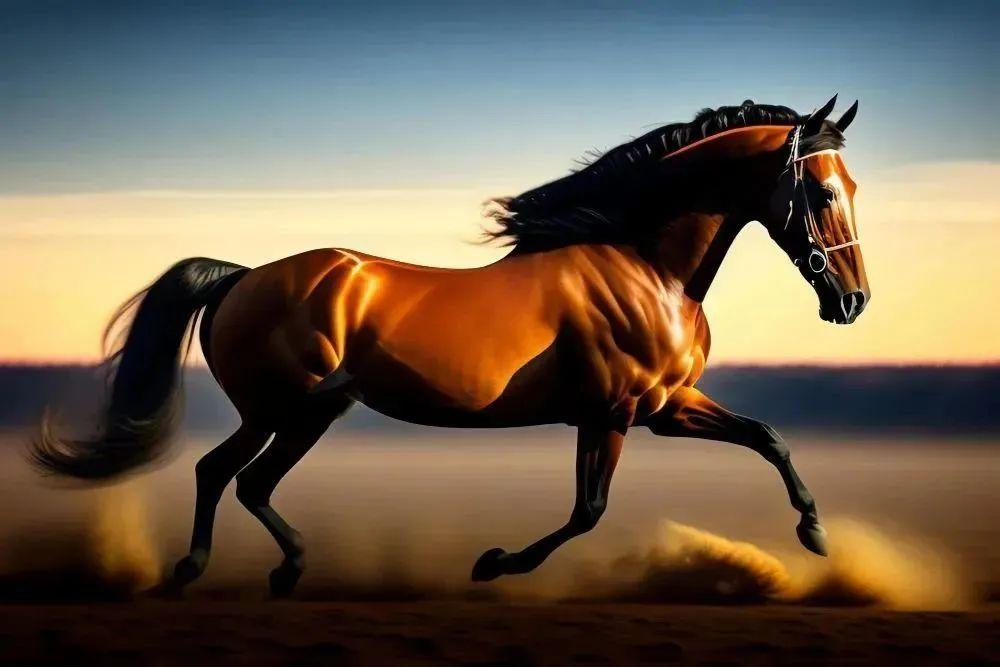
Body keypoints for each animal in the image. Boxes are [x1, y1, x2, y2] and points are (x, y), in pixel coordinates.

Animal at [32, 96, 868, 596]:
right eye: (825, 190)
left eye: (856, 187)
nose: (852, 301)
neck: (643, 264)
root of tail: (240, 278)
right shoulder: (616, 411)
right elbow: (589, 510)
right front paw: (493, 563)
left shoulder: (665, 405)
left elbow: (767, 436)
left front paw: (816, 532)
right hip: (282, 408)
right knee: (224, 473)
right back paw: (199, 569)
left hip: (308, 413)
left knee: (245, 480)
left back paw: (279, 568)